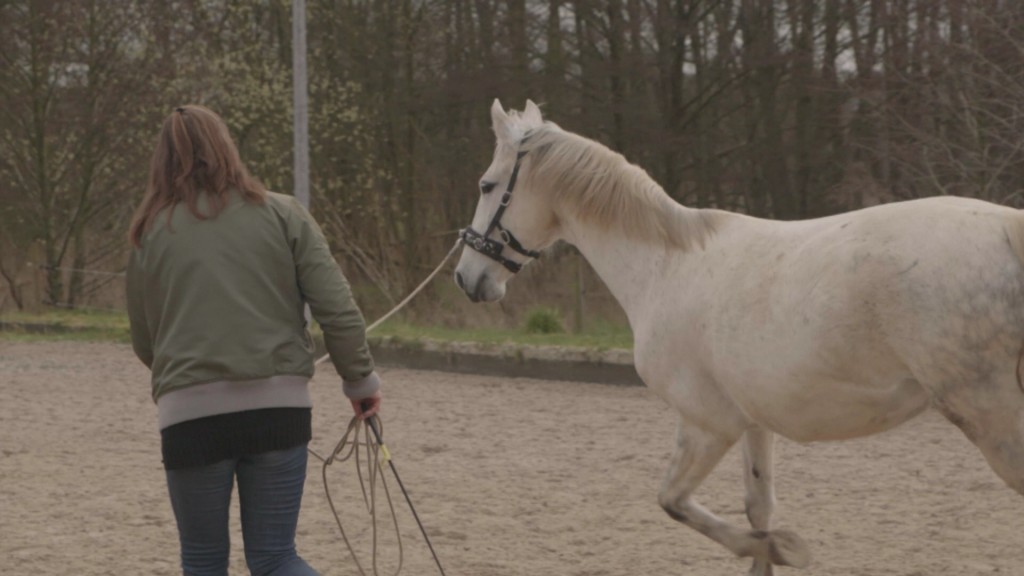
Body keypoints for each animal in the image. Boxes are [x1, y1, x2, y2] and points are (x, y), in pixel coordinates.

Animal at [456, 99, 1024, 573]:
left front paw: (787, 548)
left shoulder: (707, 423)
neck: (663, 267)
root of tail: (1008, 230)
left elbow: (675, 503)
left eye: (486, 185)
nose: (468, 278)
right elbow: (758, 508)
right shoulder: (754, 421)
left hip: (990, 415)